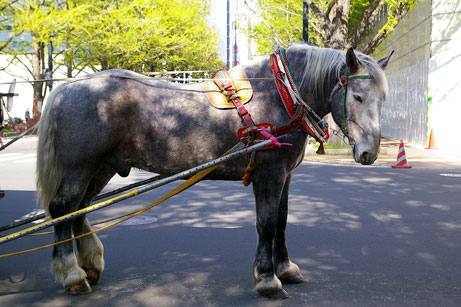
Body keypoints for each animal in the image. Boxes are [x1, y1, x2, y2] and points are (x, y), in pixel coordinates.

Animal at [36, 44, 390, 300]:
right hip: (79, 167)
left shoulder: (286, 175)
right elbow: (266, 225)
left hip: (101, 168)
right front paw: (267, 278)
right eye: (358, 96)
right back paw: (72, 274)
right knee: (63, 210)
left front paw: (285, 268)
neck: (281, 95)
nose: (369, 153)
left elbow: (282, 222)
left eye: (383, 98)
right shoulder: (269, 174)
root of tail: (65, 87)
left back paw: (90, 264)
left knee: (79, 210)